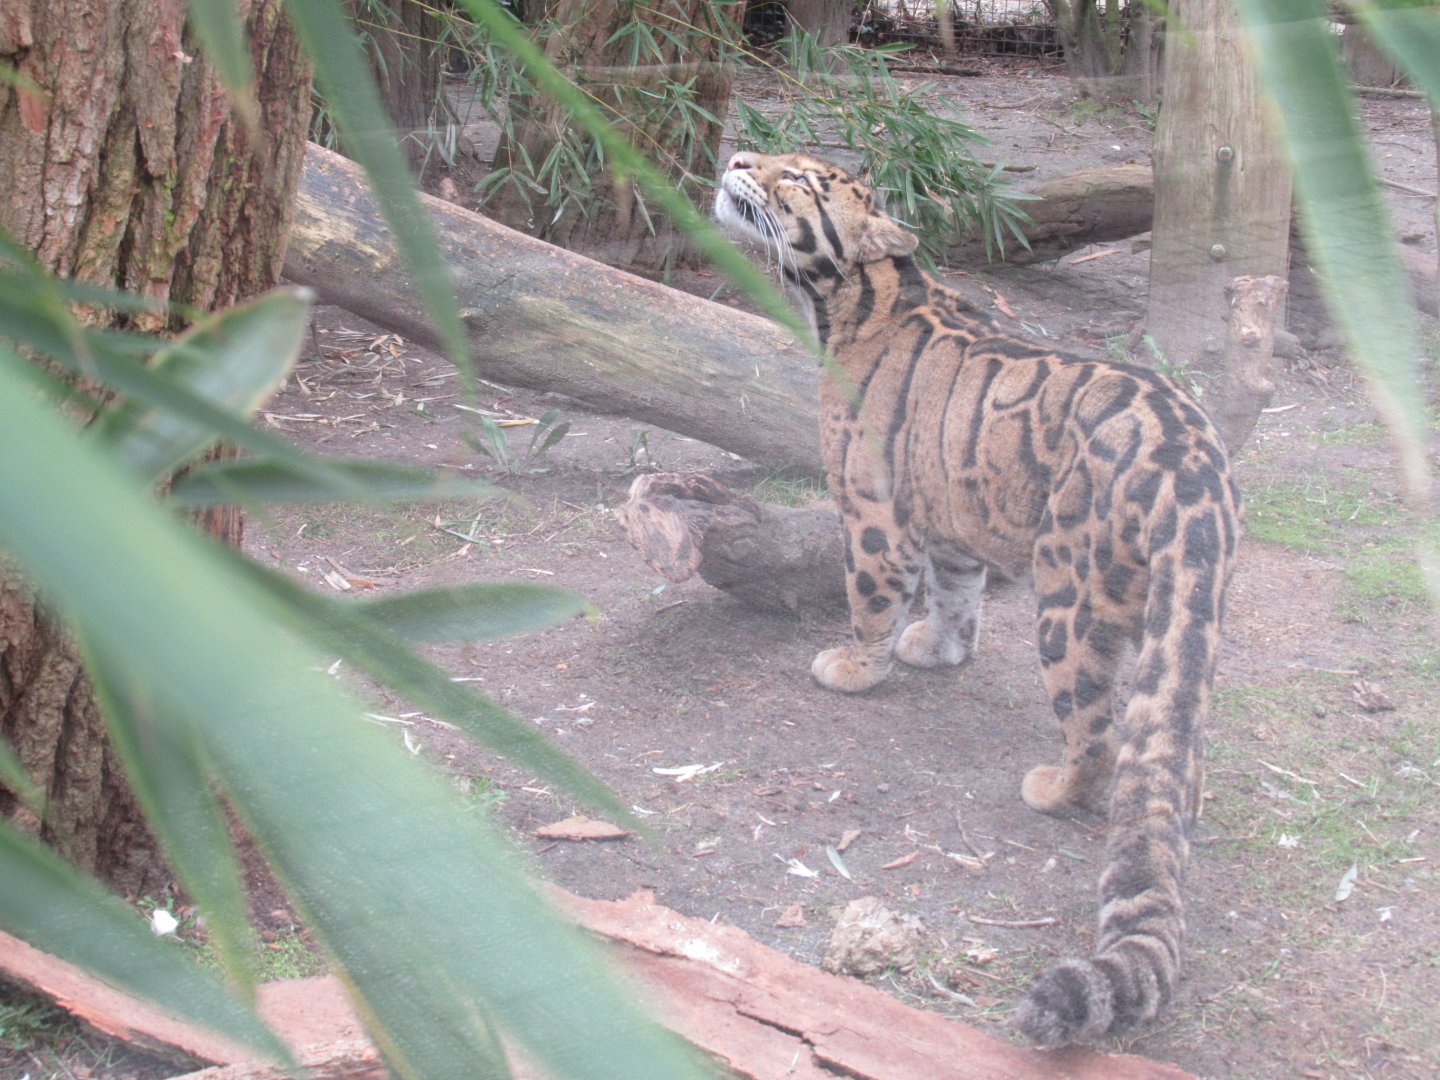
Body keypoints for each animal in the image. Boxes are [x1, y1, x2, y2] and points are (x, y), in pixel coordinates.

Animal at [714, 151, 1240, 1047]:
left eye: (800, 180)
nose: (739, 157)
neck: (845, 306)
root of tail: (1194, 469)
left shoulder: (872, 512)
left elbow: (871, 597)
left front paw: (854, 667)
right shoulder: (950, 523)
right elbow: (955, 594)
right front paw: (939, 649)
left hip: (1071, 603)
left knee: (1098, 737)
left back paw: (1053, 789)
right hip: (1184, 626)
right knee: (1170, 742)